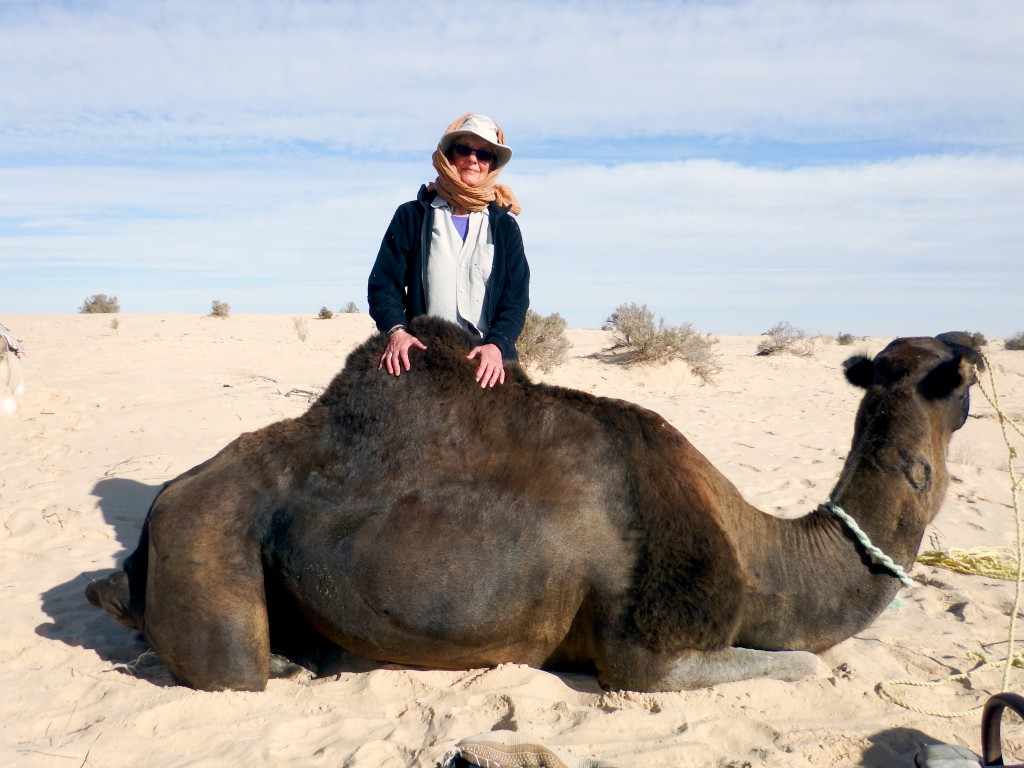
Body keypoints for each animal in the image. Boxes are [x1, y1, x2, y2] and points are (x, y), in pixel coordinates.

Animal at [83, 315, 978, 696]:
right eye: (960, 371)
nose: (973, 345)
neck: (764, 551)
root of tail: (159, 512)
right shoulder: (645, 652)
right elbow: (804, 662)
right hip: (210, 542)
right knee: (229, 671)